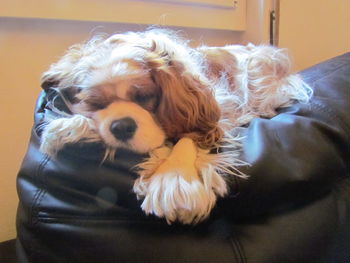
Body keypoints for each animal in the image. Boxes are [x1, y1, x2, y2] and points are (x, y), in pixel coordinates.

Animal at [39, 29, 312, 226]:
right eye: (95, 103)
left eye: (144, 96)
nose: (121, 126)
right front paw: (72, 126)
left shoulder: (213, 114)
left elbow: (188, 138)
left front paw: (174, 178)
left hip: (259, 76)